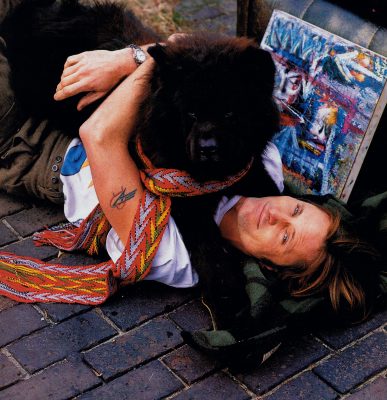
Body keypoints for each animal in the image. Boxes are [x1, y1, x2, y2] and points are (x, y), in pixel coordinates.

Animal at [3, 0, 282, 324]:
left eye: (229, 113)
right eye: (191, 113)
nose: (208, 148)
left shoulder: (249, 170)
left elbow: (274, 192)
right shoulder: (181, 201)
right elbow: (210, 248)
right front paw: (230, 298)